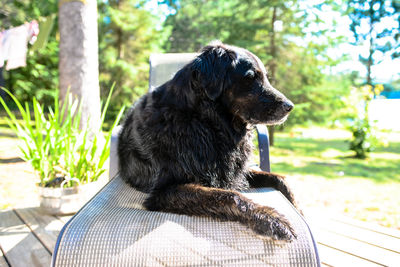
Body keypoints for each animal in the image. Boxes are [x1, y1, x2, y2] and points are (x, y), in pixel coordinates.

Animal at [118, 41, 296, 241]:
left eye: (265, 77)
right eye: (250, 77)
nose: (290, 106)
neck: (206, 123)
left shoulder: (235, 171)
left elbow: (280, 178)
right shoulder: (164, 190)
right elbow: (229, 196)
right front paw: (271, 218)